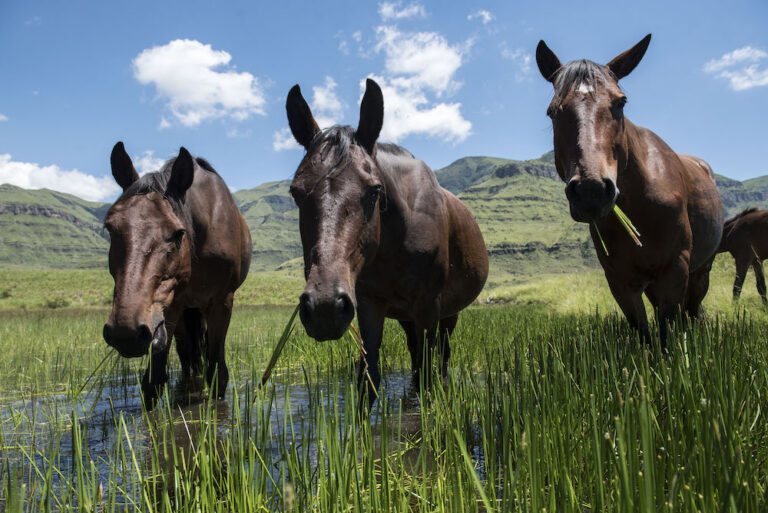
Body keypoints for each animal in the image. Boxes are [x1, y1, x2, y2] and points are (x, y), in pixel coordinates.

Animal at [102, 142, 252, 405]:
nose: (125, 333)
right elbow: (152, 382)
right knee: (187, 356)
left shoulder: (221, 302)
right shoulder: (170, 306)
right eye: (110, 227)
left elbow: (217, 375)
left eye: (178, 233)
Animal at [285, 79, 489, 406]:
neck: (396, 241)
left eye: (374, 191)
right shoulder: (369, 306)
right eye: (296, 192)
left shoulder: (429, 307)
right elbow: (369, 380)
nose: (324, 307)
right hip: (406, 316)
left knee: (441, 360)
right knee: (416, 356)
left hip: (447, 314)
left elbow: (428, 378)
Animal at [535, 35, 724, 345]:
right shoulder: (620, 279)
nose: (591, 190)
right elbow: (644, 332)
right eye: (552, 111)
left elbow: (668, 329)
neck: (641, 206)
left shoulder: (676, 266)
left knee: (693, 309)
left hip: (702, 269)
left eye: (621, 102)